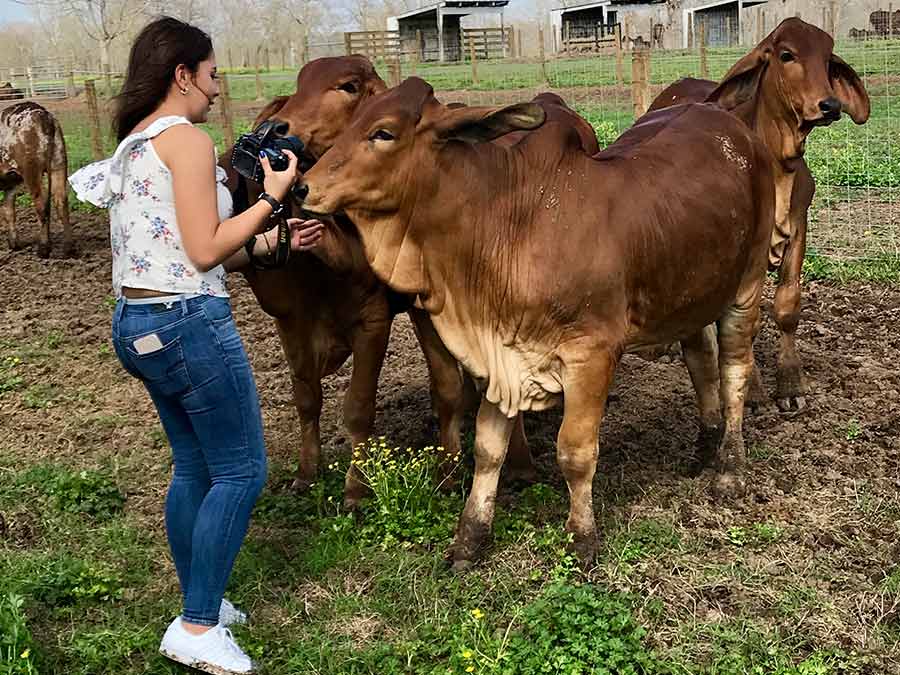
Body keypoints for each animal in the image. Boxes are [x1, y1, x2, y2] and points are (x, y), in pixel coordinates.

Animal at [0, 101, 71, 258]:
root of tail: (42, 113)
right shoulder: (10, 184)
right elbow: (9, 211)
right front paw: (14, 244)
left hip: (31, 171)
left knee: (41, 205)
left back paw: (43, 249)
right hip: (59, 164)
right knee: (61, 201)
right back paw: (68, 249)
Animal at [219, 56, 537, 507]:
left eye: (348, 86)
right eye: (298, 83)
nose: (279, 128)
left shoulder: (375, 321)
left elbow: (361, 407)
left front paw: (357, 486)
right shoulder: (291, 322)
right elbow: (306, 398)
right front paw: (306, 471)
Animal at [297, 76, 776, 568]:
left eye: (384, 133)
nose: (301, 187)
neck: (507, 230)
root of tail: (725, 118)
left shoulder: (591, 355)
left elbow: (575, 452)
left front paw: (582, 538)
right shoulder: (501, 356)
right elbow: (487, 450)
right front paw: (470, 539)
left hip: (747, 285)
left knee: (734, 372)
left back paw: (729, 470)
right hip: (693, 292)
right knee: (700, 359)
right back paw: (705, 445)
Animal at [648, 19, 870, 413]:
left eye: (828, 59)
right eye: (786, 55)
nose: (829, 105)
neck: (779, 162)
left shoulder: (799, 229)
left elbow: (787, 307)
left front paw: (791, 383)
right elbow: (744, 327)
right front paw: (753, 392)